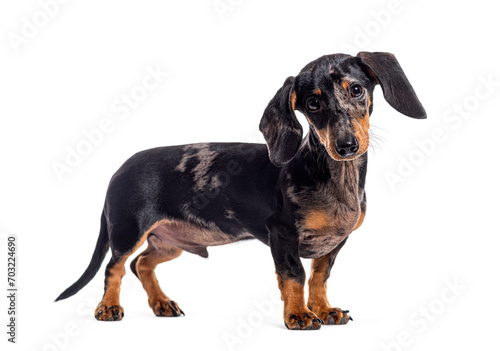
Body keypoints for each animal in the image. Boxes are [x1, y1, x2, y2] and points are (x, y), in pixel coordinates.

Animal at [57, 51, 426, 330]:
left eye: (357, 90)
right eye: (312, 104)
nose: (346, 145)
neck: (335, 177)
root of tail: (119, 170)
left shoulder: (334, 242)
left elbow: (319, 278)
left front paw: (323, 309)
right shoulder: (281, 234)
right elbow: (295, 276)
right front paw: (299, 314)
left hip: (169, 242)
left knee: (142, 265)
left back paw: (161, 303)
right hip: (128, 230)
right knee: (115, 267)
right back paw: (108, 307)